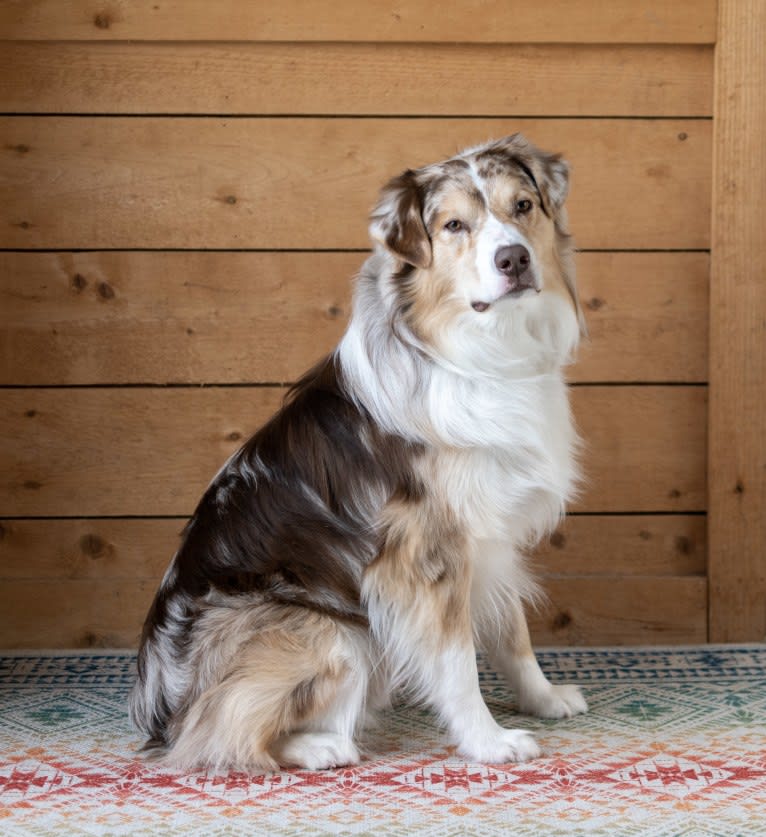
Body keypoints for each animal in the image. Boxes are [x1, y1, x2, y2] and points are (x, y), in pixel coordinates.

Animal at [130, 132, 588, 772]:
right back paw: (321, 746)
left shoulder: (490, 534)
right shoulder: (424, 554)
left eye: (522, 206)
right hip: (335, 633)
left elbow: (512, 631)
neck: (482, 354)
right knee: (213, 733)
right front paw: (488, 741)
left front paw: (542, 698)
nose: (514, 259)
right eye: (453, 225)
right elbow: (456, 660)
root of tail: (157, 710)